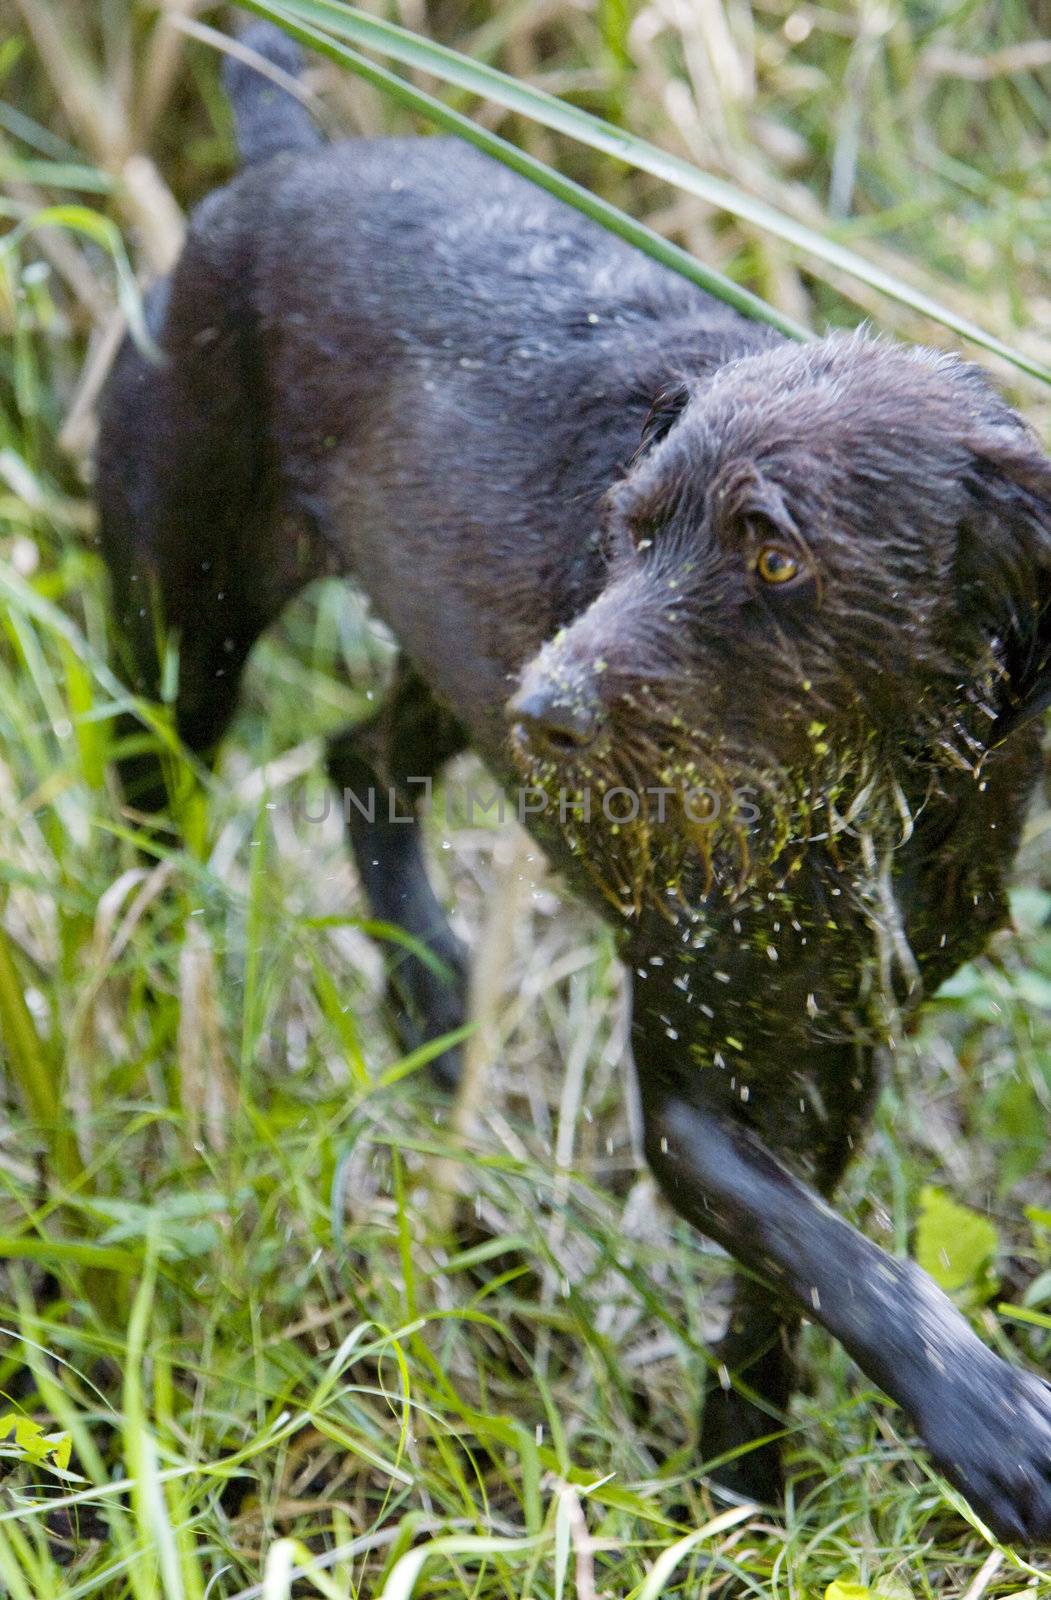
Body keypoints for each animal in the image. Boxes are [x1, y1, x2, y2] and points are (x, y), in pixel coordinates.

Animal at [96, 25, 1049, 1542]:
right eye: (629, 525)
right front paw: (990, 1424)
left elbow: (784, 1289)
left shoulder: (838, 1049)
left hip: (441, 665)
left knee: (354, 761)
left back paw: (432, 1001)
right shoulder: (683, 1089)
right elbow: (840, 1261)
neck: (861, 798)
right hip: (189, 642)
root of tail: (282, 161)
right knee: (152, 832)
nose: (550, 711)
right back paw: (145, 1030)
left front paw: (739, 1484)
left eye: (773, 551)